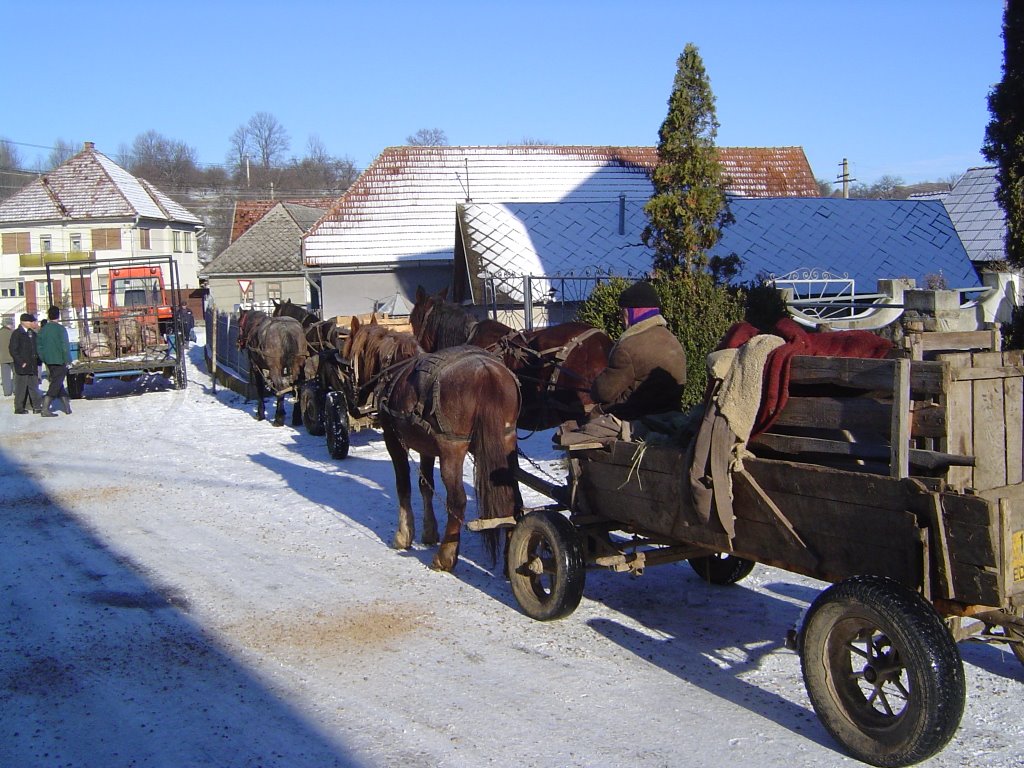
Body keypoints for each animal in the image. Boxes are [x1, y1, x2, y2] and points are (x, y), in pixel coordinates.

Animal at [342, 315, 520, 573]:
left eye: (346, 363)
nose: (353, 404)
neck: (394, 369)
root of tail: (487, 373)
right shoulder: (426, 446)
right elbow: (425, 484)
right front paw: (429, 531)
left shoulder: (394, 440)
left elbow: (404, 485)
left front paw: (404, 535)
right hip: (506, 443)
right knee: (511, 495)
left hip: (452, 450)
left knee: (457, 501)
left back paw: (445, 556)